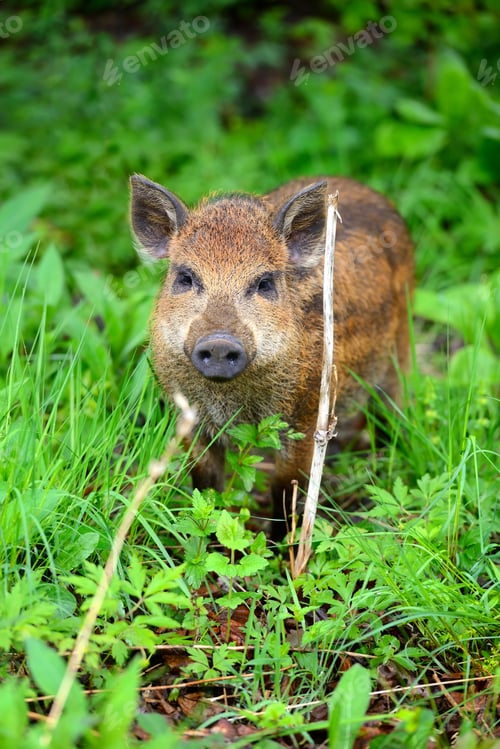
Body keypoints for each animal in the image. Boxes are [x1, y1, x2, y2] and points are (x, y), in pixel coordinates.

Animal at [129, 174, 414, 539]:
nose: (219, 342)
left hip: (400, 351)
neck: (230, 400)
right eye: (185, 277)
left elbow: (287, 490)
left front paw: (281, 545)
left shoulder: (307, 417)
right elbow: (206, 486)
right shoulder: (188, 416)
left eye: (264, 282)